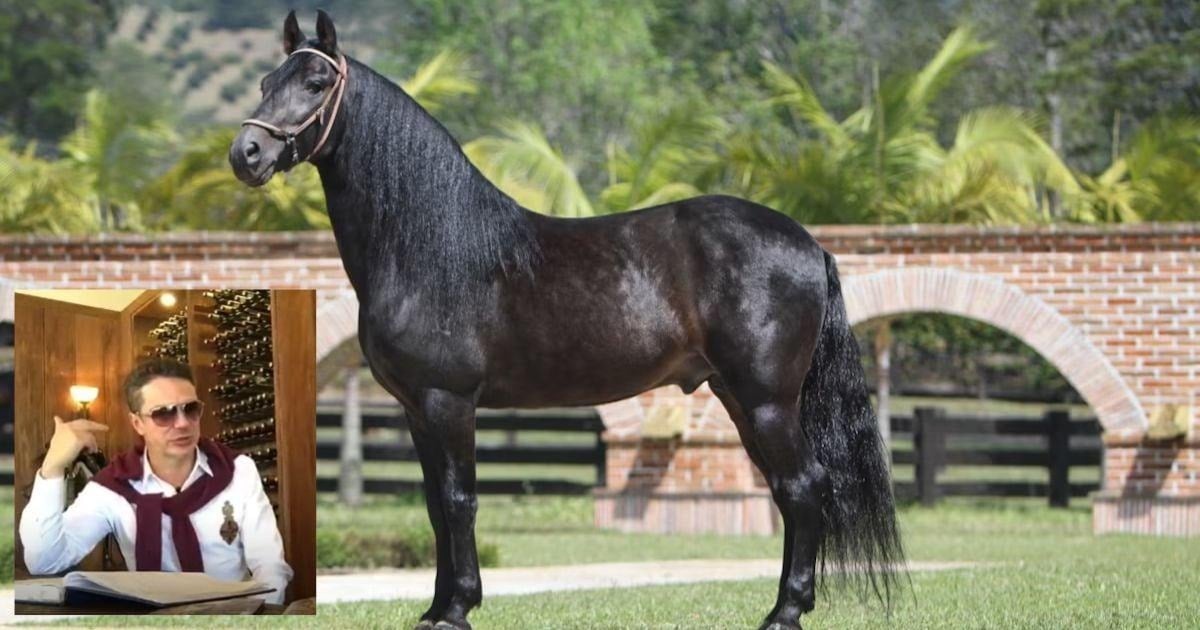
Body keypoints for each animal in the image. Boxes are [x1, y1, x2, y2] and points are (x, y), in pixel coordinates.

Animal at [230, 10, 902, 629]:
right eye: (266, 81)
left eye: (317, 81)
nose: (247, 154)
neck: (430, 249)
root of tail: (809, 244)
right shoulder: (417, 410)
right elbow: (434, 506)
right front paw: (437, 607)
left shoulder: (450, 402)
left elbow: (459, 499)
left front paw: (458, 609)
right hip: (739, 398)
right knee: (791, 491)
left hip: (767, 400)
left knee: (804, 487)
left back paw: (783, 613)